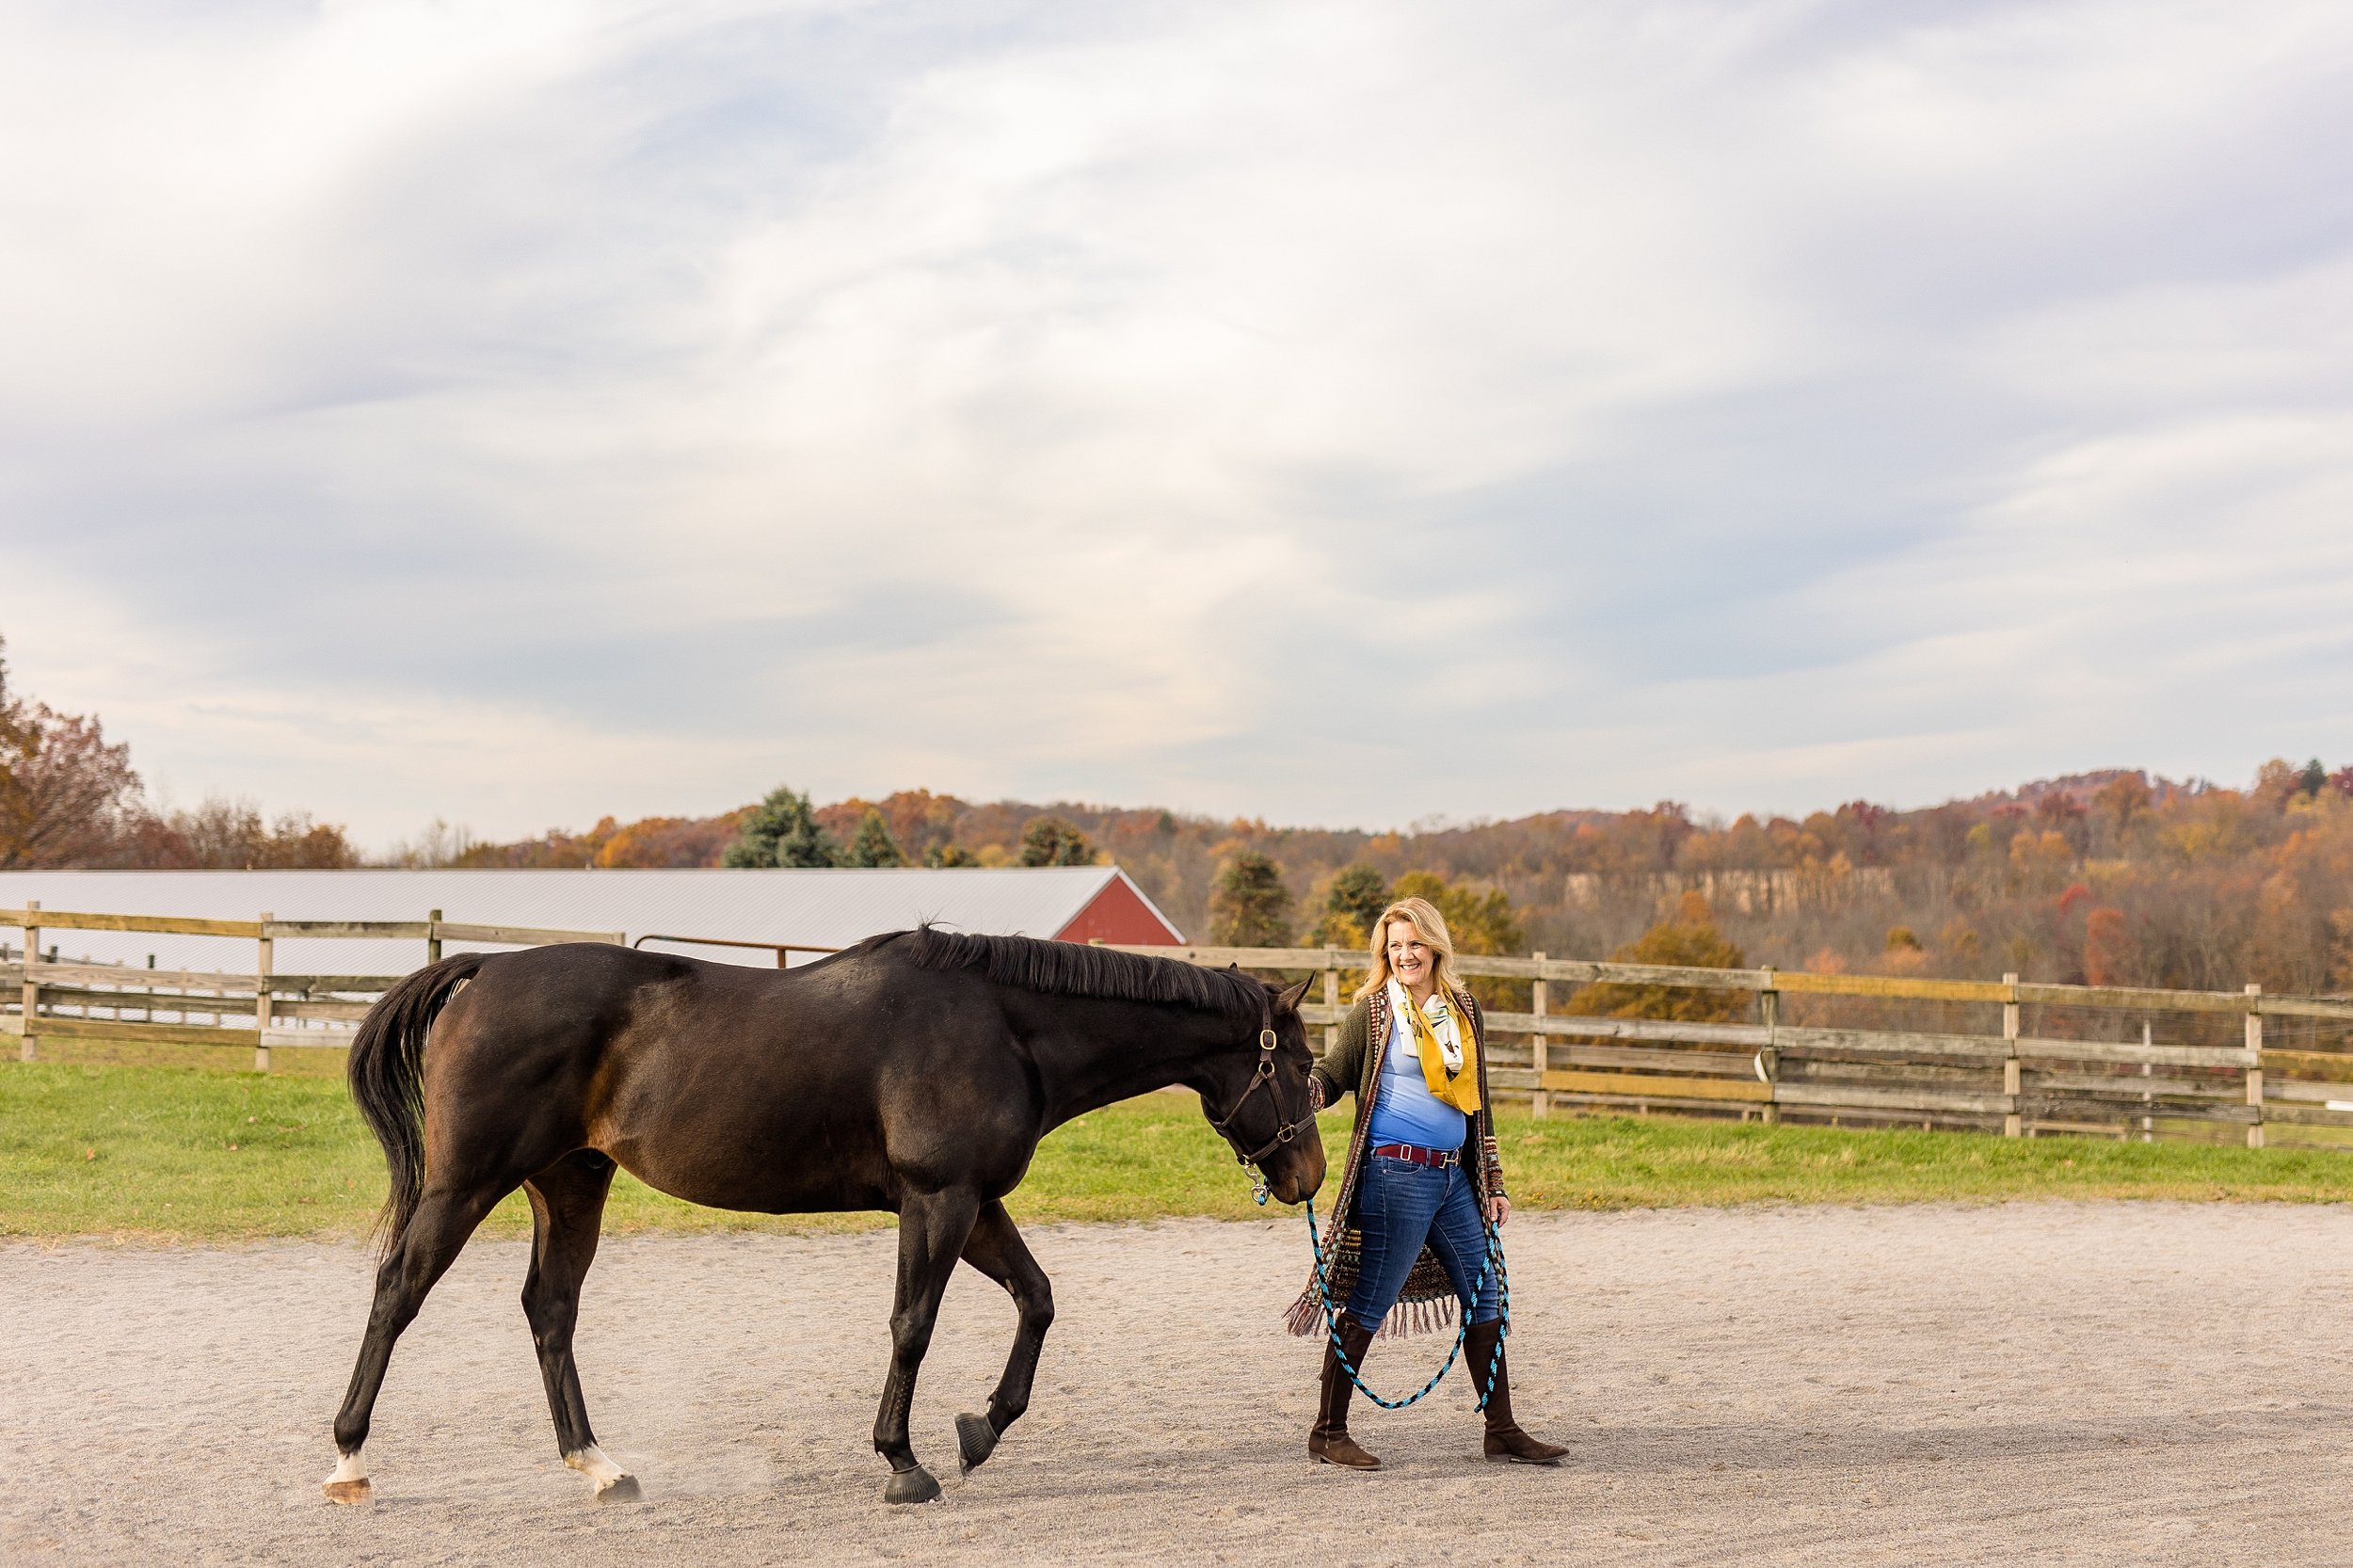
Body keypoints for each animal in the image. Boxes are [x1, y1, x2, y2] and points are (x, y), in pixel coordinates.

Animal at [317, 927, 1327, 1506]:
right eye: (1299, 1065)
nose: (1311, 1174)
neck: (1003, 1026)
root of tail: (483, 969)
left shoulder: (976, 1203)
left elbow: (1037, 1300)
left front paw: (981, 1430)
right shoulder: (938, 1200)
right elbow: (913, 1326)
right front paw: (903, 1462)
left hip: (570, 1184)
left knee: (549, 1311)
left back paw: (598, 1464)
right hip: (465, 1185)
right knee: (397, 1293)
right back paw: (350, 1461)